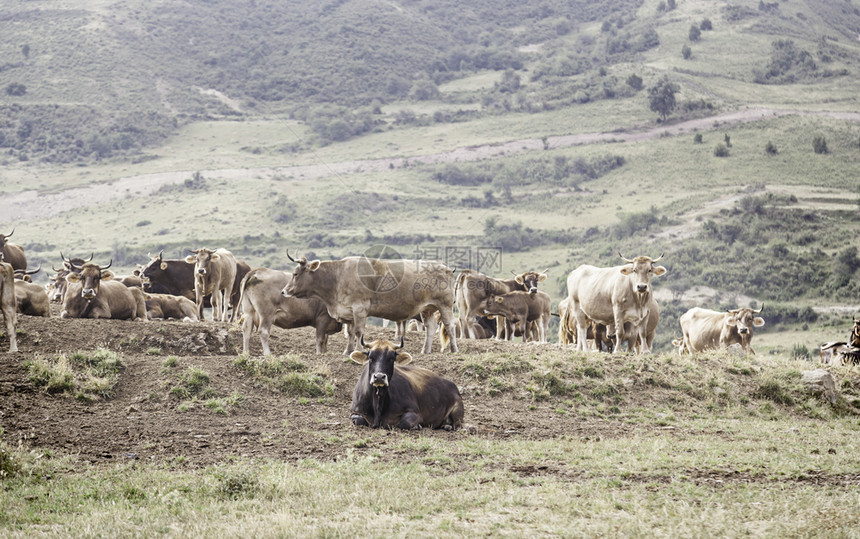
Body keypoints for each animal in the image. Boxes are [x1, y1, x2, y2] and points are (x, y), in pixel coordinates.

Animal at [282, 252, 456, 356]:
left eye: (295, 274)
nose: (284, 291)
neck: (337, 277)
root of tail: (444, 267)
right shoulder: (349, 312)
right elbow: (350, 333)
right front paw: (347, 351)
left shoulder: (359, 309)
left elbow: (359, 332)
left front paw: (357, 351)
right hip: (427, 309)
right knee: (430, 328)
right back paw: (425, 351)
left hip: (445, 305)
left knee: (450, 326)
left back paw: (454, 349)